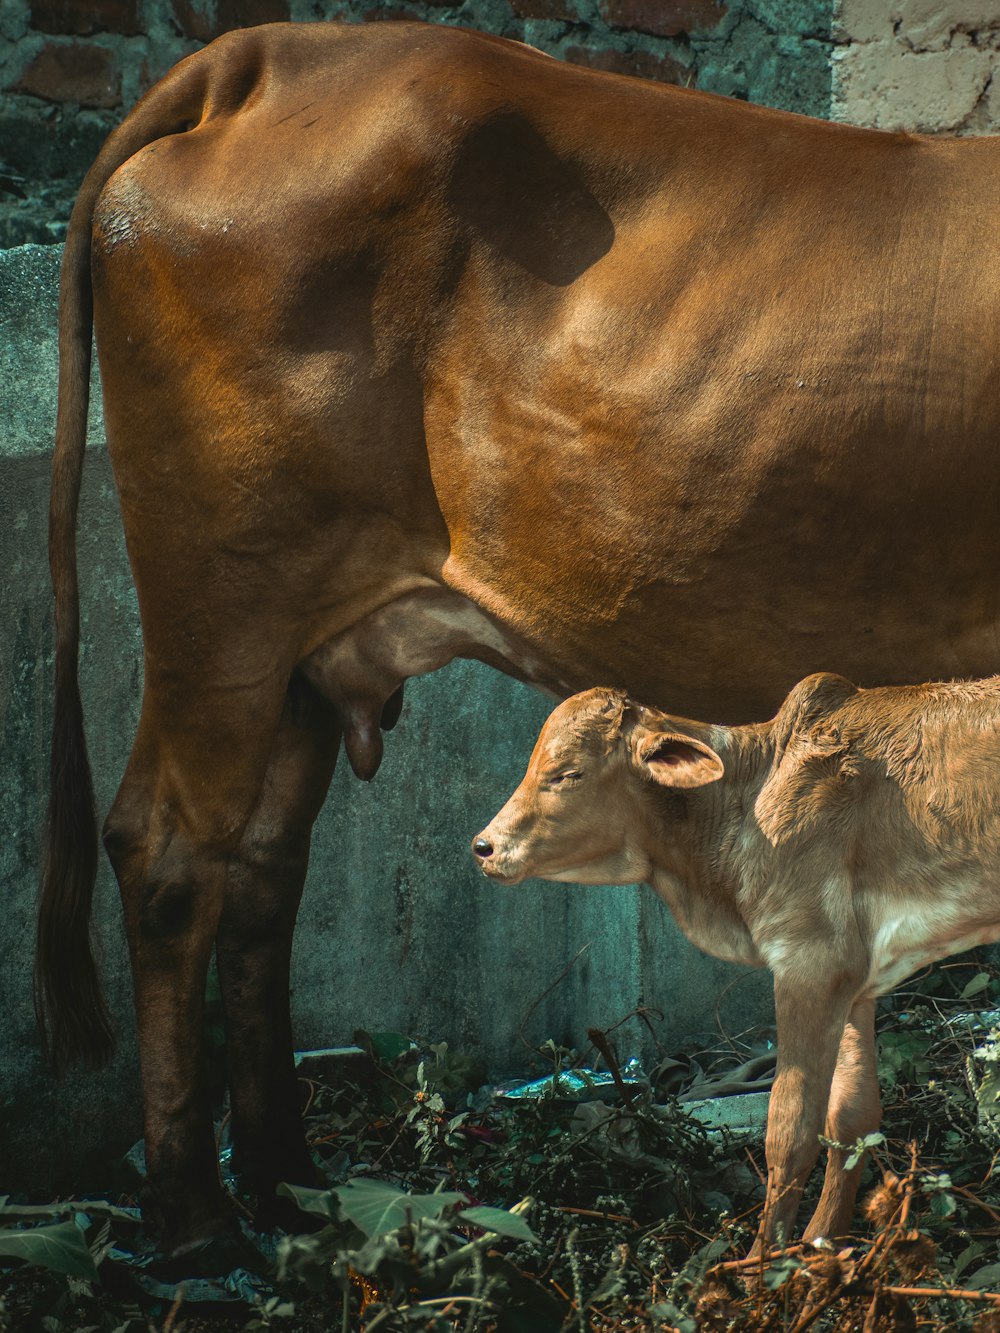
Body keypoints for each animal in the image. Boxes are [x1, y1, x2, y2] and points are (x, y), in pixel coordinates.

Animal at [474, 677, 1000, 1247]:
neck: (749, 798)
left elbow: (790, 1131)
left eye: (568, 772)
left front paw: (764, 1260)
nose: (484, 847)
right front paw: (819, 1246)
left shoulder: (808, 961)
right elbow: (852, 1119)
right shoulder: (854, 983)